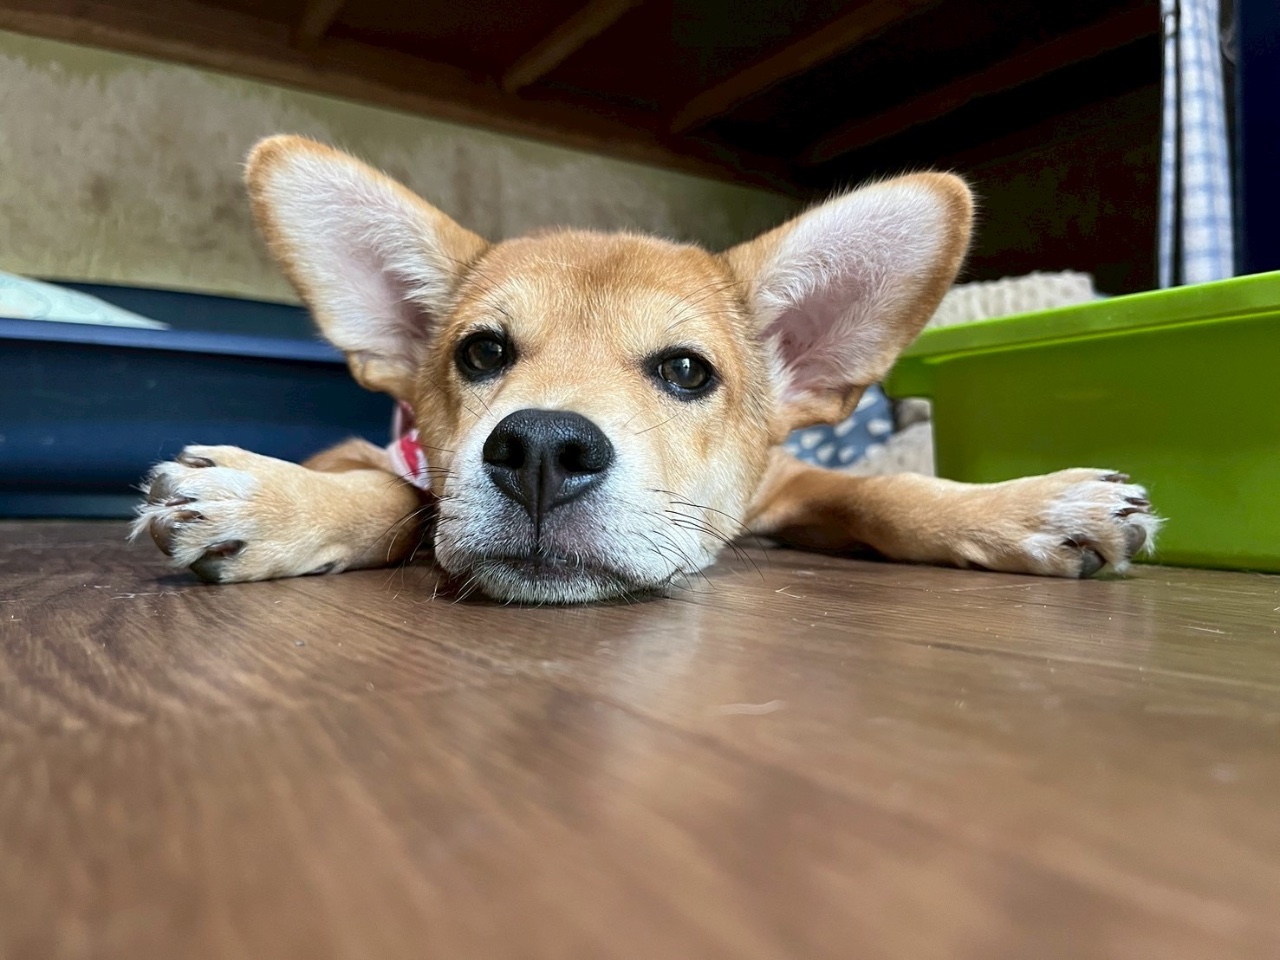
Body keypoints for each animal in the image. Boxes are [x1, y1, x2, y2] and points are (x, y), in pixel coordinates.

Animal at [132, 136, 1159, 604]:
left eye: (687, 371)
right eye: (481, 352)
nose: (542, 451)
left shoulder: (789, 479)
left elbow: (885, 492)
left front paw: (1034, 506)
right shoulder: (369, 453)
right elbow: (395, 494)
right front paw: (265, 500)